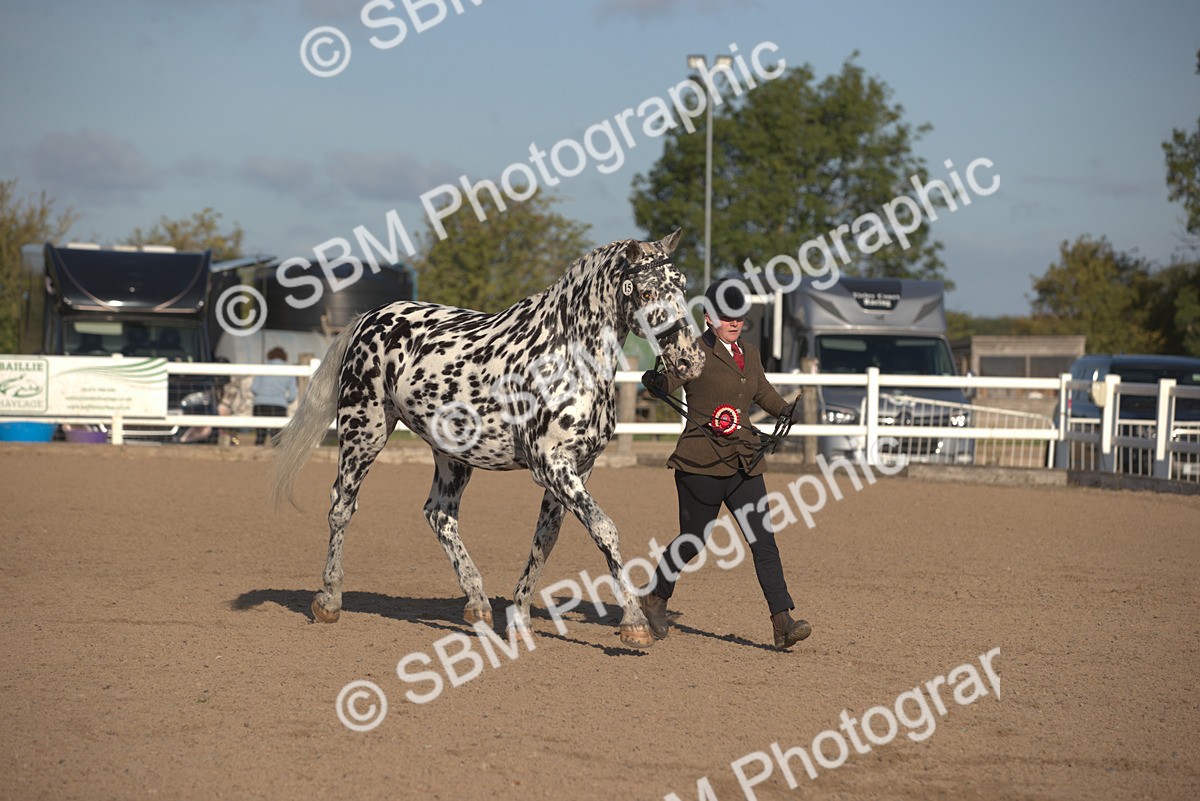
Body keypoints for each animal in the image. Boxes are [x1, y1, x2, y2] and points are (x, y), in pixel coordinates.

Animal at [269, 230, 705, 647]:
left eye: (681, 284)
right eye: (645, 292)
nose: (690, 360)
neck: (566, 358)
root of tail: (368, 320)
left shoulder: (578, 470)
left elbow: (544, 540)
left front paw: (521, 621)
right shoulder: (553, 468)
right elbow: (604, 529)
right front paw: (635, 625)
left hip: (452, 456)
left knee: (439, 514)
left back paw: (477, 605)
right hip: (365, 431)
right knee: (342, 505)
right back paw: (329, 600)